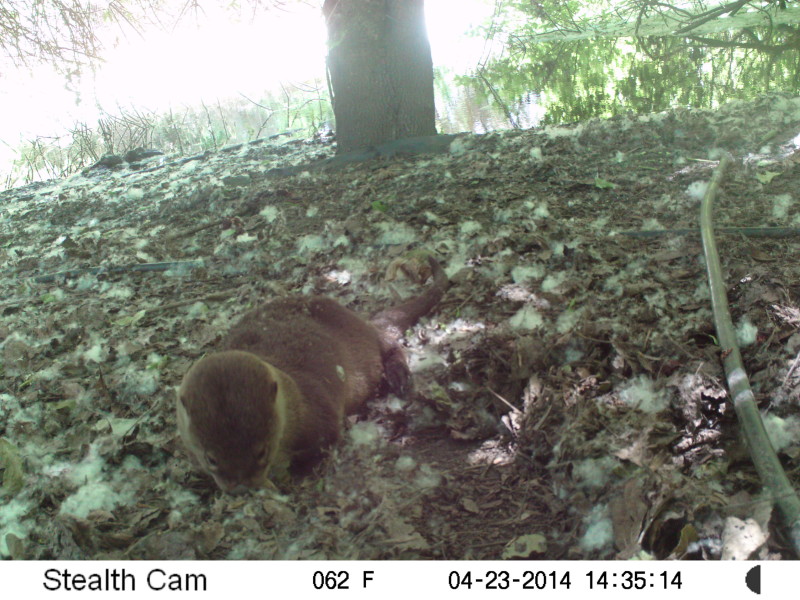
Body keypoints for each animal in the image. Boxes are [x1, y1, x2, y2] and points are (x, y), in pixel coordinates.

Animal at [177, 253, 446, 492]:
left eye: (261, 451)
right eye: (211, 459)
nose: (241, 488)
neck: (296, 403)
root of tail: (358, 317)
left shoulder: (321, 421)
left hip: (366, 342)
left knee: (391, 346)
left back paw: (399, 378)